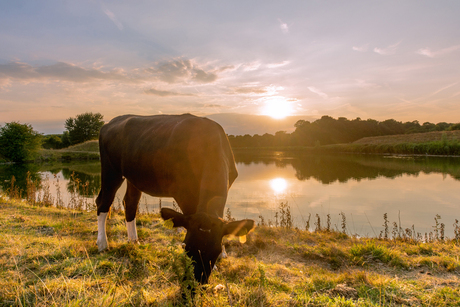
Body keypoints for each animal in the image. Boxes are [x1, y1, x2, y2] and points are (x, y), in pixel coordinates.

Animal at [95, 114, 255, 286]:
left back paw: (134, 241)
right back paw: (103, 244)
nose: (198, 281)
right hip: (110, 170)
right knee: (103, 202)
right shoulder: (182, 192)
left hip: (134, 176)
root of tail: (113, 121)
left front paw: (223, 254)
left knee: (130, 203)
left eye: (215, 250)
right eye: (186, 248)